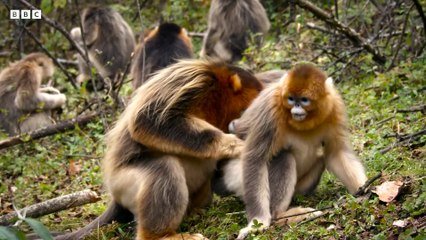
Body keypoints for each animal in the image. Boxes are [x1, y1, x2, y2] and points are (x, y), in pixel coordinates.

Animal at [55, 58, 262, 240]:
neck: (216, 97)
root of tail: (116, 198)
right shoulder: (196, 80)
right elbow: (147, 121)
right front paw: (232, 144)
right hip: (121, 182)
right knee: (163, 169)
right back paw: (161, 235)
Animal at [215, 62, 368, 239]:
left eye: (304, 100)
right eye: (291, 99)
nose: (296, 108)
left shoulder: (334, 106)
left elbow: (336, 152)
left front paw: (365, 190)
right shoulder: (271, 108)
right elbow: (255, 159)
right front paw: (257, 224)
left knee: (321, 158)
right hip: (236, 177)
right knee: (283, 156)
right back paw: (282, 216)